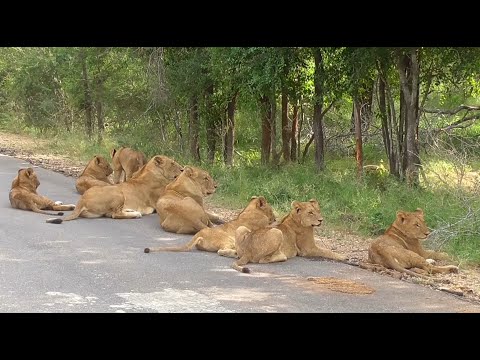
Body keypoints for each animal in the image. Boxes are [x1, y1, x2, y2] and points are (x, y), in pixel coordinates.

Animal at [46, 156, 183, 224]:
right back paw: (136, 214)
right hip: (118, 193)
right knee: (114, 214)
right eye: (172, 163)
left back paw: (131, 210)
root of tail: (82, 201)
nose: (182, 169)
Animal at [144, 197, 276, 253]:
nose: (275, 218)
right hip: (228, 239)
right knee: (222, 250)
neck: (250, 210)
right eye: (271, 210)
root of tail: (199, 235)